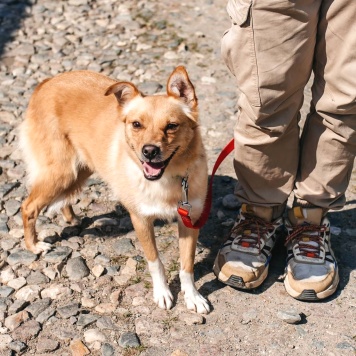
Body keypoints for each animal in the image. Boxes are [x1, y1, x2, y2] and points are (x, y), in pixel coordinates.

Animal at [18, 65, 209, 312]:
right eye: (136, 124)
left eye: (172, 126)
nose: (149, 151)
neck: (166, 179)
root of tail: (47, 82)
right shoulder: (141, 219)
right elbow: (155, 261)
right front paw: (162, 293)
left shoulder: (190, 219)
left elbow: (187, 265)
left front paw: (192, 296)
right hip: (61, 171)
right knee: (28, 207)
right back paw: (33, 245)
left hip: (80, 169)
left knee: (62, 198)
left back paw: (71, 218)